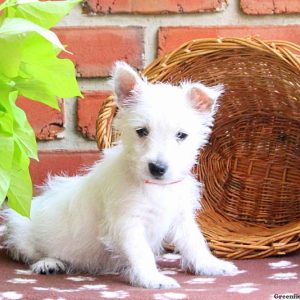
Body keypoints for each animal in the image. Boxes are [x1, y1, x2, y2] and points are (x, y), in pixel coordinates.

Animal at [2, 62, 237, 290]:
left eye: (181, 135)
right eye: (141, 131)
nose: (157, 168)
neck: (155, 187)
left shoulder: (181, 217)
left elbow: (194, 241)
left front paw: (211, 265)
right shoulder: (127, 223)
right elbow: (142, 253)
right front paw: (152, 278)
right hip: (20, 229)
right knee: (30, 254)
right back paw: (47, 263)